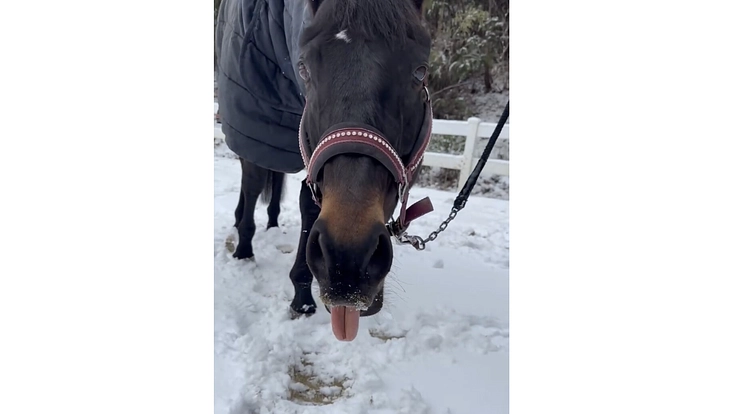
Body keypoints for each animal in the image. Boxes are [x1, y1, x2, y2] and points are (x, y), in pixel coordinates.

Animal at [215, 0, 433, 341]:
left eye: (420, 70)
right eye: (304, 69)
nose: (348, 261)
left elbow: (308, 205)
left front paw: (302, 293)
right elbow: (269, 189)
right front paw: (297, 293)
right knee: (251, 180)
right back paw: (244, 242)